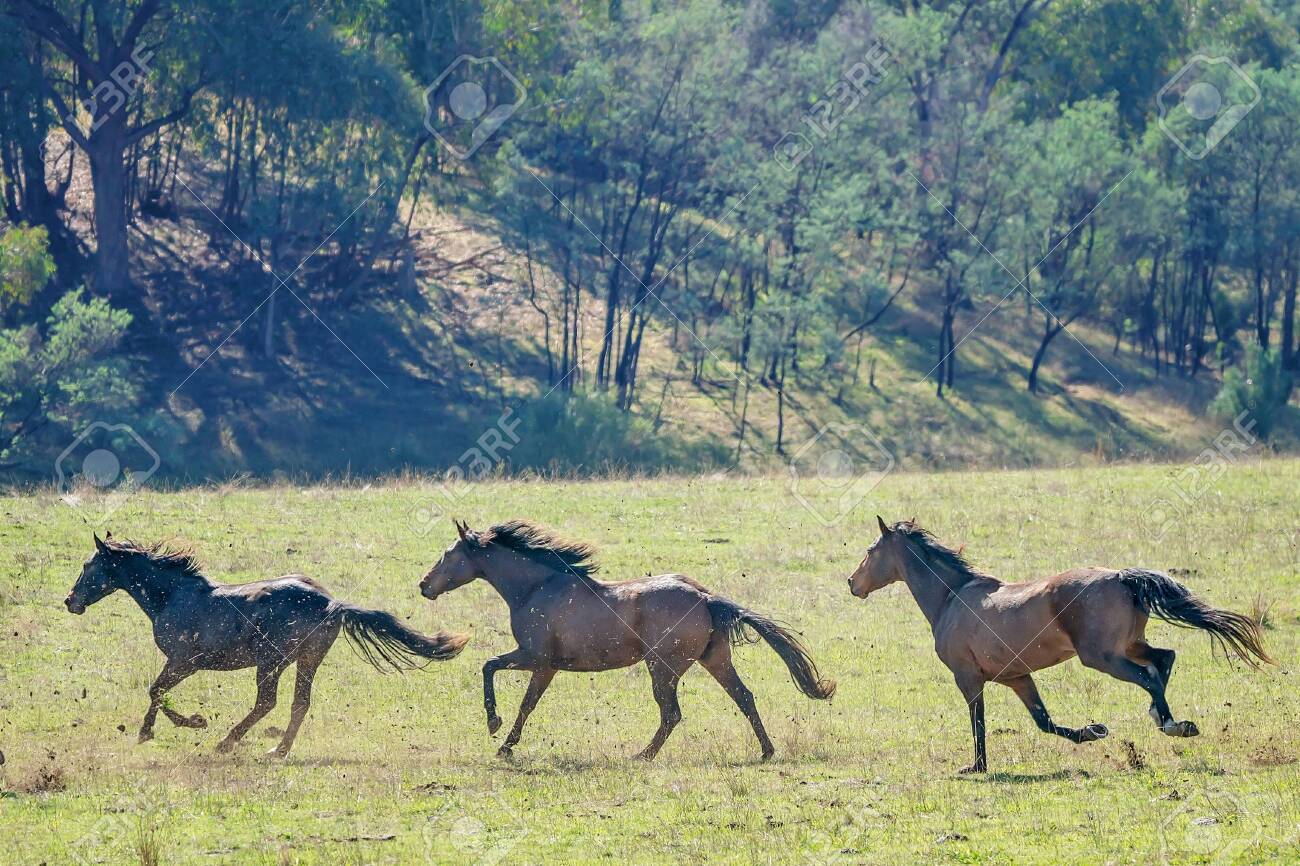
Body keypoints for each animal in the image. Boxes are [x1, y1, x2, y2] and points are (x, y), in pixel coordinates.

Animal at [65, 533, 469, 757]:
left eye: (87, 566)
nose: (70, 601)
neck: (172, 596)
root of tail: (331, 602)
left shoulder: (184, 661)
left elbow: (156, 690)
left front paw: (183, 724)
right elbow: (157, 692)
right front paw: (152, 731)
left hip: (271, 661)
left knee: (266, 702)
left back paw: (226, 742)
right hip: (307, 660)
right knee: (299, 703)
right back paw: (278, 750)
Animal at [419, 520, 836, 761]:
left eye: (447, 554)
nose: (424, 585)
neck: (537, 587)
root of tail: (705, 597)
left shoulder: (536, 659)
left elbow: (499, 678)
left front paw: (498, 733)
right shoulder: (544, 665)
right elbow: (518, 693)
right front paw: (503, 739)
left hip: (663, 667)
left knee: (672, 713)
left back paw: (642, 755)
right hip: (715, 659)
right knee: (744, 697)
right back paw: (766, 752)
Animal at [848, 517, 1271, 774]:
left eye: (870, 552)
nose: (852, 583)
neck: (952, 597)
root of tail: (1121, 576)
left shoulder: (968, 679)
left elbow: (978, 721)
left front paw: (977, 767)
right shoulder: (1017, 678)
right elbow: (1044, 722)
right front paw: (1092, 731)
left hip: (1102, 657)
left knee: (1149, 676)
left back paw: (1171, 724)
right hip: (1129, 645)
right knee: (1163, 659)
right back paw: (1161, 715)